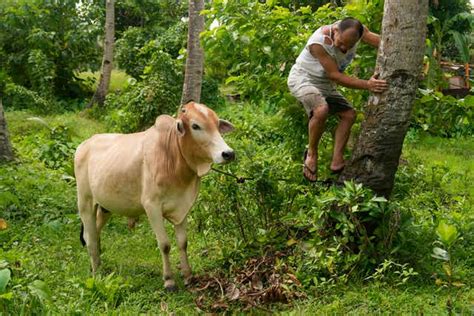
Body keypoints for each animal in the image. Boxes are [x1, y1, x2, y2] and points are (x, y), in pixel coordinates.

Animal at [74, 102, 235, 292]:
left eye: (217, 124)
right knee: (90, 238)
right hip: (85, 203)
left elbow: (183, 242)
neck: (172, 155)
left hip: (105, 207)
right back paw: (96, 273)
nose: (228, 153)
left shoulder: (183, 207)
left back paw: (97, 265)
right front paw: (169, 280)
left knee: (93, 233)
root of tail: (84, 145)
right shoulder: (152, 207)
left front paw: (188, 275)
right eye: (195, 126)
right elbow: (164, 245)